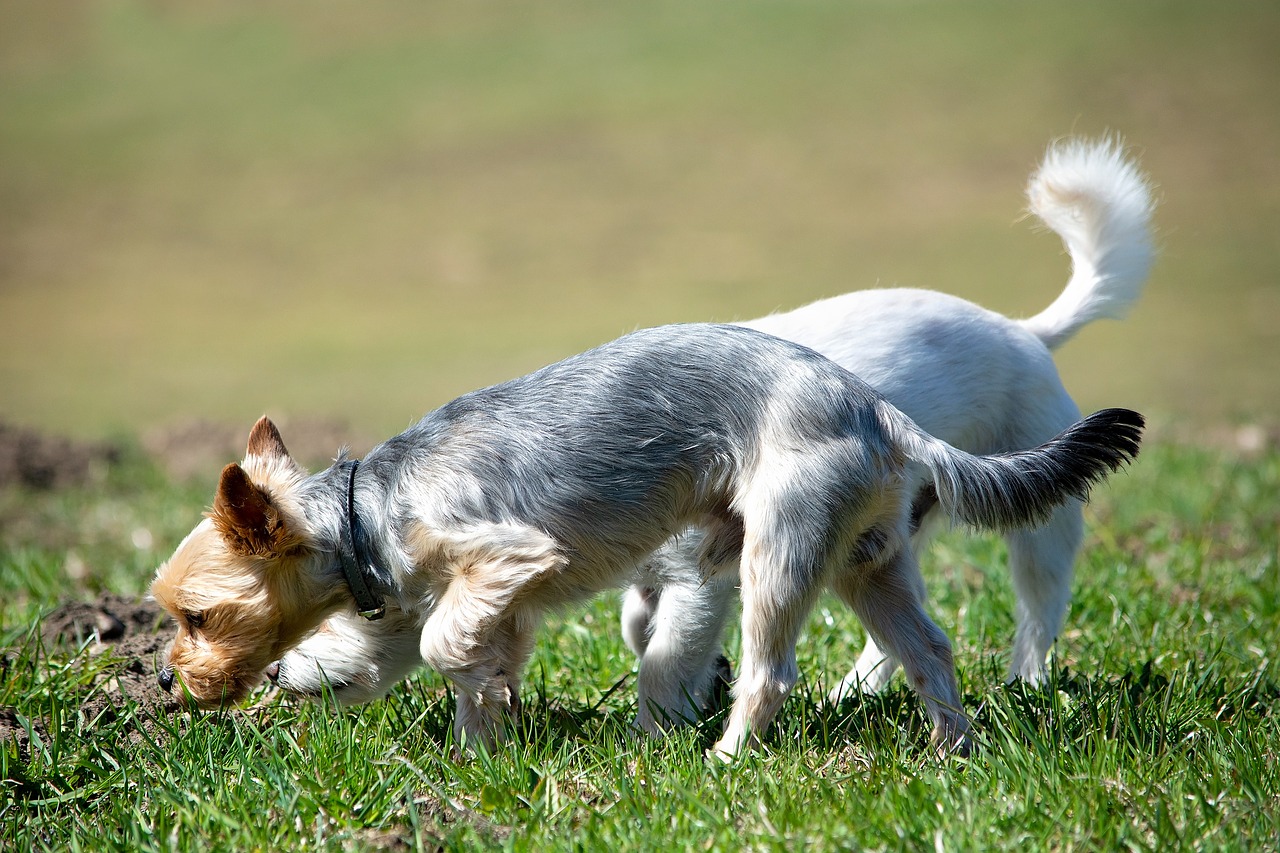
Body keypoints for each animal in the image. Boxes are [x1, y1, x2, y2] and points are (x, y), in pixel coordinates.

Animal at [154, 320, 1146, 758]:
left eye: (196, 616)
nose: (167, 679)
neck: (368, 508)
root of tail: (877, 410)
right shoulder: (495, 598)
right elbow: (476, 664)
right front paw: (480, 752)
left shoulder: (511, 554)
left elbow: (443, 642)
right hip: (871, 564)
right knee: (931, 649)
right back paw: (953, 751)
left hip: (779, 550)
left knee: (770, 672)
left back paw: (726, 758)